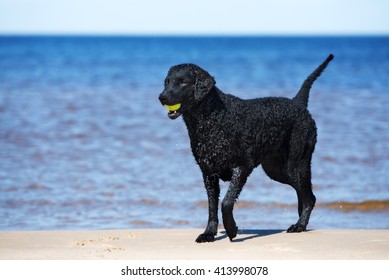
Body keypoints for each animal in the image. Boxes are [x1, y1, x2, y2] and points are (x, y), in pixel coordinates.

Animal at [158, 54, 334, 243]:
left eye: (183, 81)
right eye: (166, 82)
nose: (162, 97)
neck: (211, 119)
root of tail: (298, 103)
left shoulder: (242, 167)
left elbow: (226, 202)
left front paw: (231, 229)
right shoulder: (208, 174)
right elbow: (212, 208)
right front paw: (209, 233)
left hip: (296, 163)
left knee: (310, 197)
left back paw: (299, 225)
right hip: (276, 170)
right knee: (303, 192)